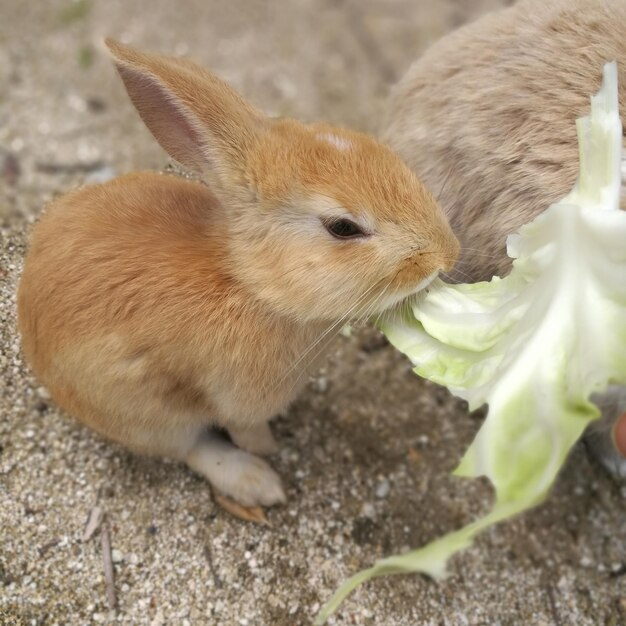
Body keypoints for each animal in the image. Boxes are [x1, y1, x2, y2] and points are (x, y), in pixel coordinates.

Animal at [18, 39, 458, 508]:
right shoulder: (238, 400)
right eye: (343, 227)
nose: (446, 255)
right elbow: (245, 429)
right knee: (192, 448)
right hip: (141, 413)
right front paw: (269, 448)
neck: (252, 285)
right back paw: (257, 482)